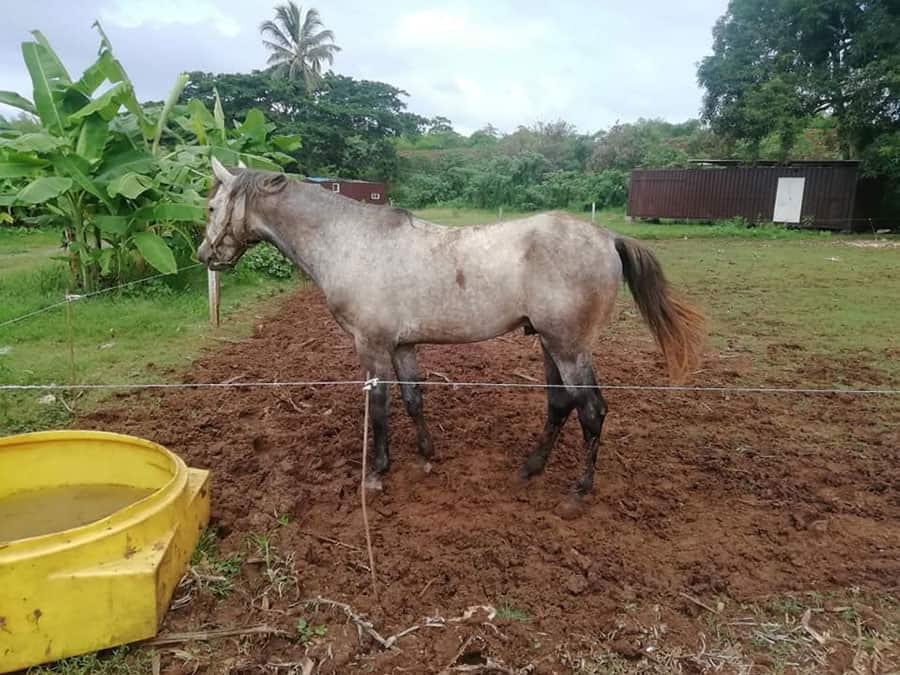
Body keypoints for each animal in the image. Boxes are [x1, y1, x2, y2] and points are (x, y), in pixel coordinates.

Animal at [200, 158, 708, 512]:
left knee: (592, 412)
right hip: (550, 344)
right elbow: (412, 399)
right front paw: (427, 457)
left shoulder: (372, 346)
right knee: (560, 405)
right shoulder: (402, 345)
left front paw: (377, 472)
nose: (206, 255)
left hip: (570, 348)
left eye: (210, 206)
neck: (351, 242)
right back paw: (530, 469)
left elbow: (379, 407)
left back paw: (577, 493)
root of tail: (607, 238)